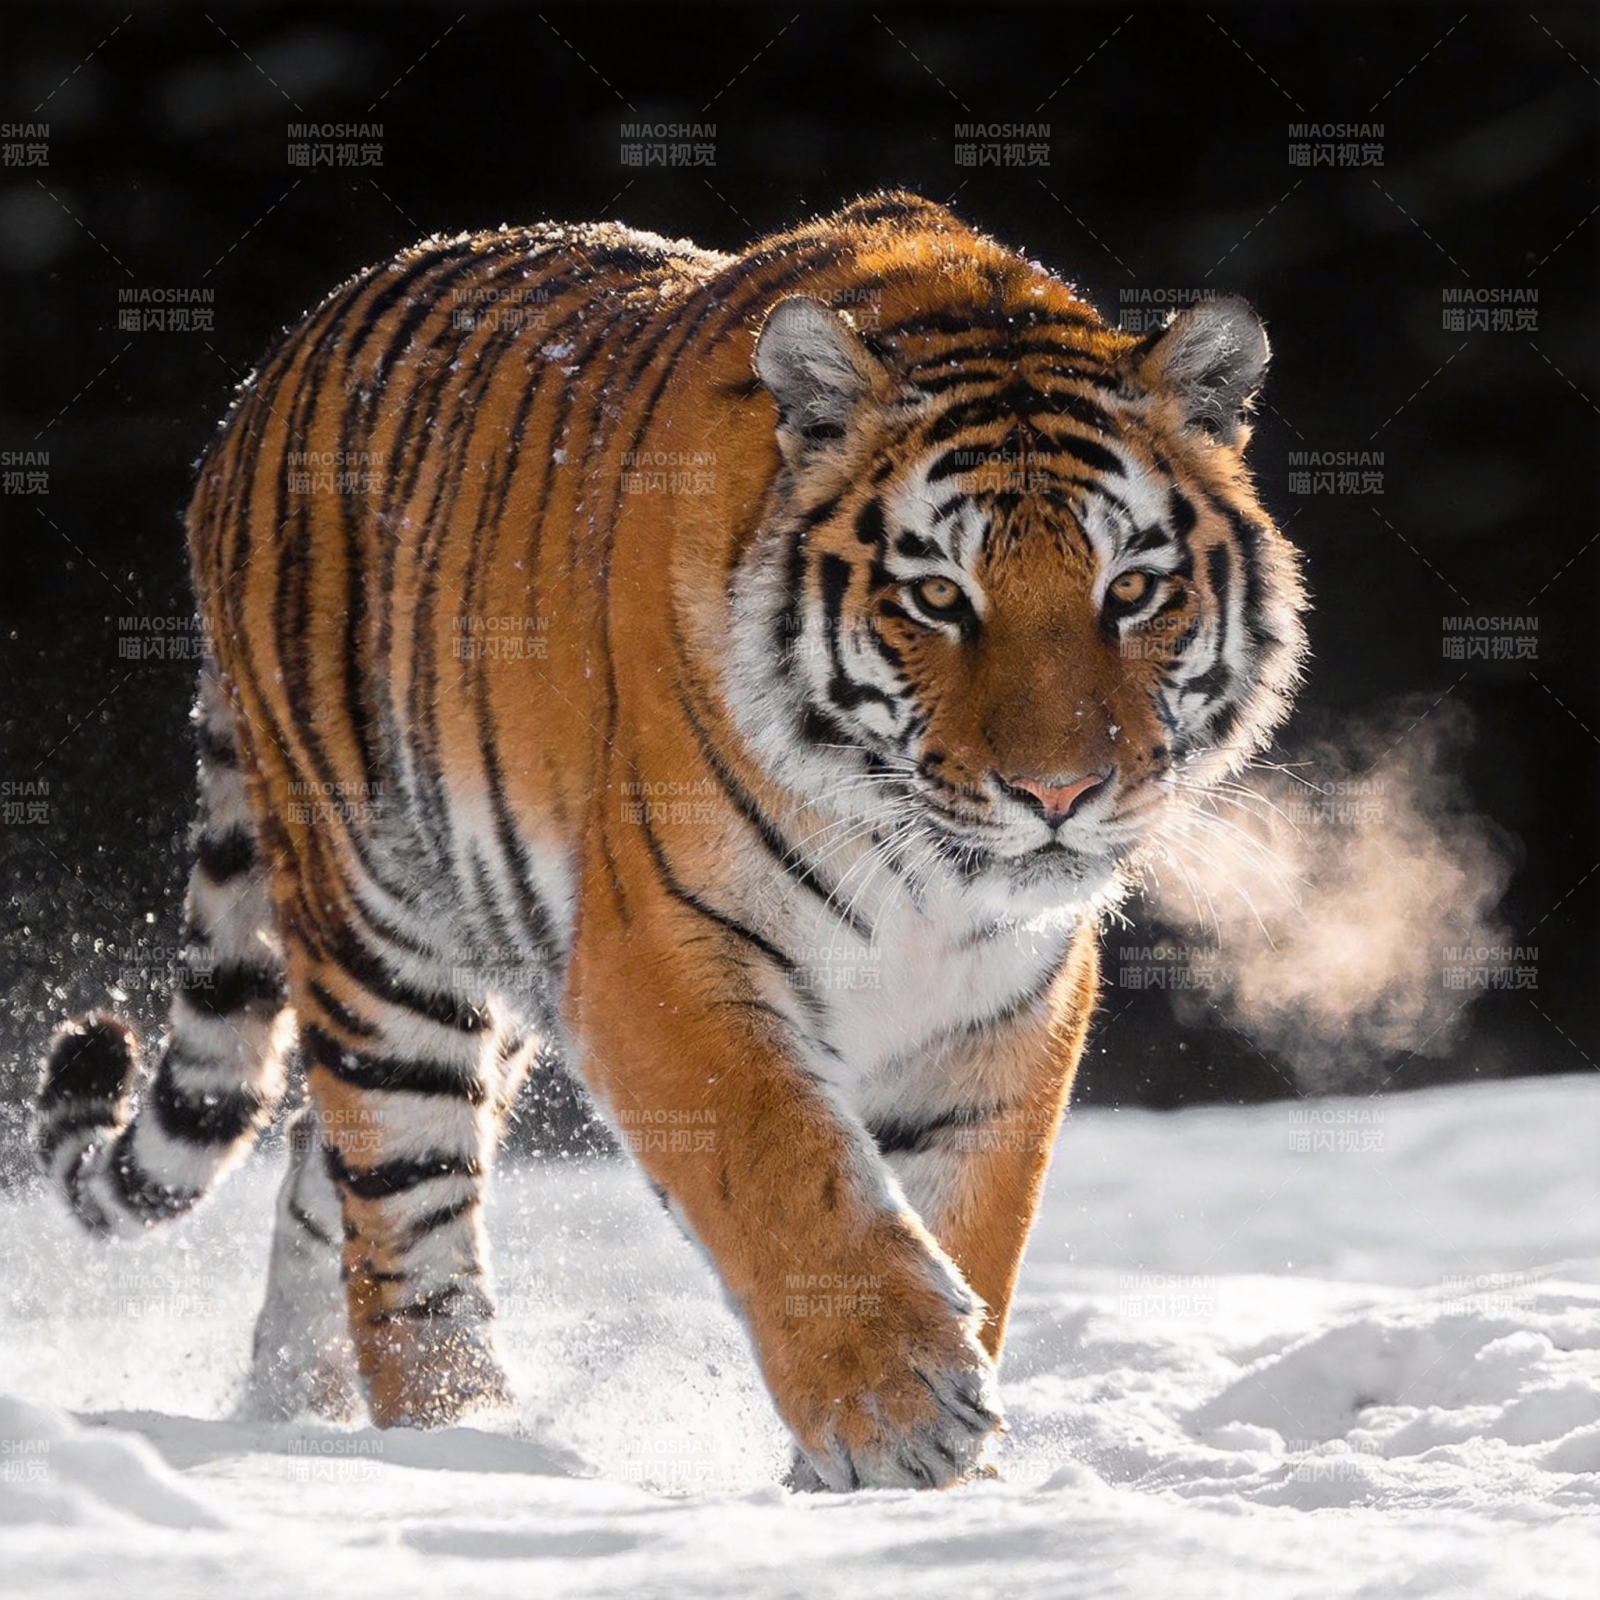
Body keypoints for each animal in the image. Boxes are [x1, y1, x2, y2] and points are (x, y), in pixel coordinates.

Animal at [34, 191, 1306, 1491]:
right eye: (938, 596)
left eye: (1132, 589)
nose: (1058, 790)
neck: (924, 879)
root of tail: (269, 372)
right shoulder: (661, 952)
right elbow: (787, 1171)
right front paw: (899, 1412)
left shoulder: (1011, 999)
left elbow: (967, 1219)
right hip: (382, 938)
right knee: (400, 1222)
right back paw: (464, 1443)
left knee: (316, 1181)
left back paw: (292, 1420)